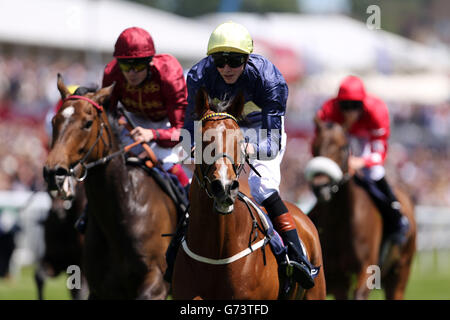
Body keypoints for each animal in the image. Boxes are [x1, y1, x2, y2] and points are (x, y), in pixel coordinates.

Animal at [304, 118, 416, 300]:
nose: (321, 187)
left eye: (342, 147)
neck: (339, 218)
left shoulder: (366, 267)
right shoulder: (337, 279)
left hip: (400, 271)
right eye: (314, 145)